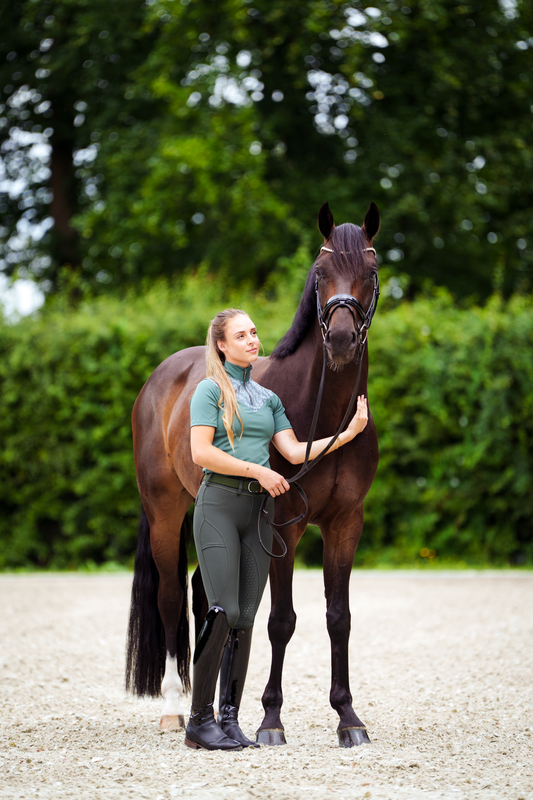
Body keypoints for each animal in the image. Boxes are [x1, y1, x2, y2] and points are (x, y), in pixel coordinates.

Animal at [127, 202, 380, 752]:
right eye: (320, 273)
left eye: (371, 272)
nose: (342, 340)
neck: (321, 414)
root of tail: (160, 378)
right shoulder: (285, 524)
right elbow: (281, 621)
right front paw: (270, 720)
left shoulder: (346, 523)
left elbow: (339, 617)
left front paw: (348, 717)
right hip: (165, 514)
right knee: (171, 598)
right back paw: (174, 711)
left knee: (208, 596)